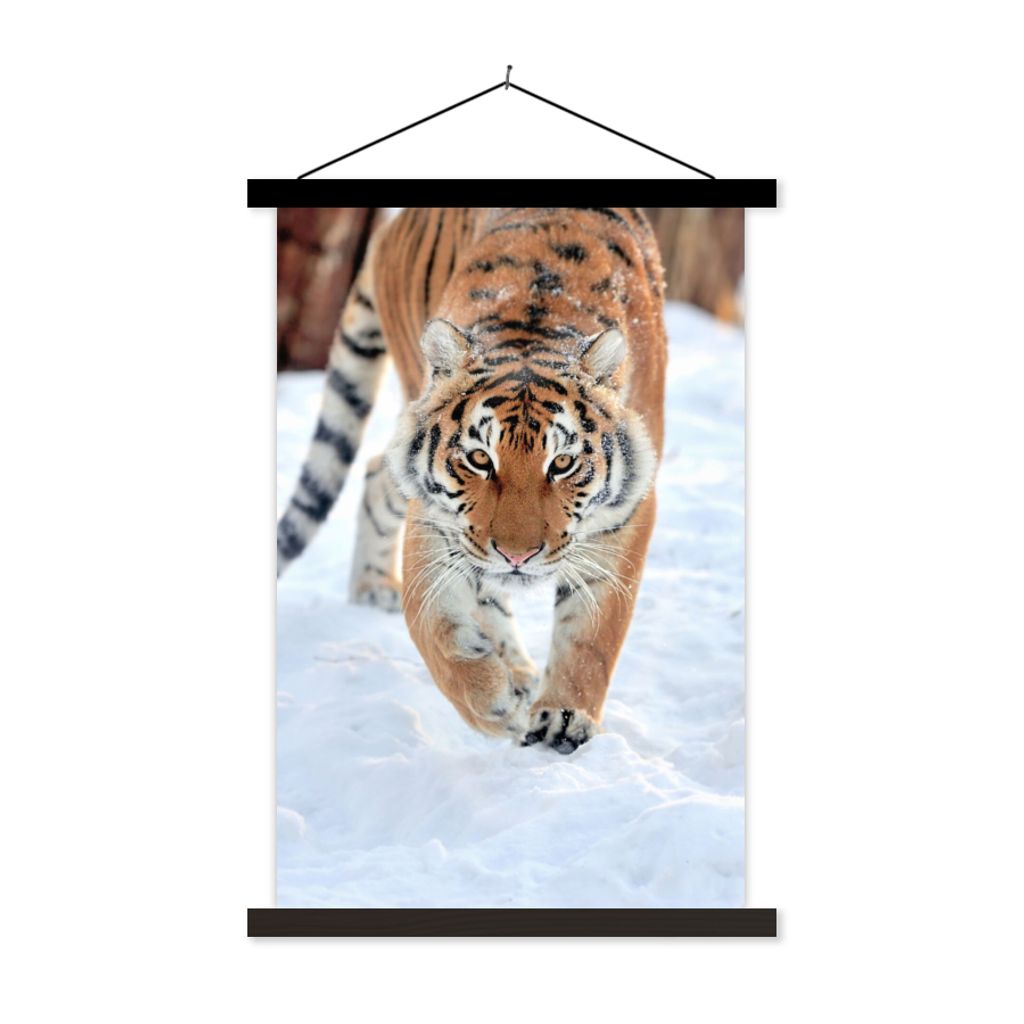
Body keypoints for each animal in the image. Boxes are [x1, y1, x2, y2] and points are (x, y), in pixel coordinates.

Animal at [277, 207, 667, 753]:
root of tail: (393, 223)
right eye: (481, 459)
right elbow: (434, 626)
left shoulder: (629, 511)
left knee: (376, 472)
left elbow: (592, 630)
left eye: (561, 464)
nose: (518, 556)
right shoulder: (436, 516)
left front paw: (564, 717)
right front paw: (495, 706)